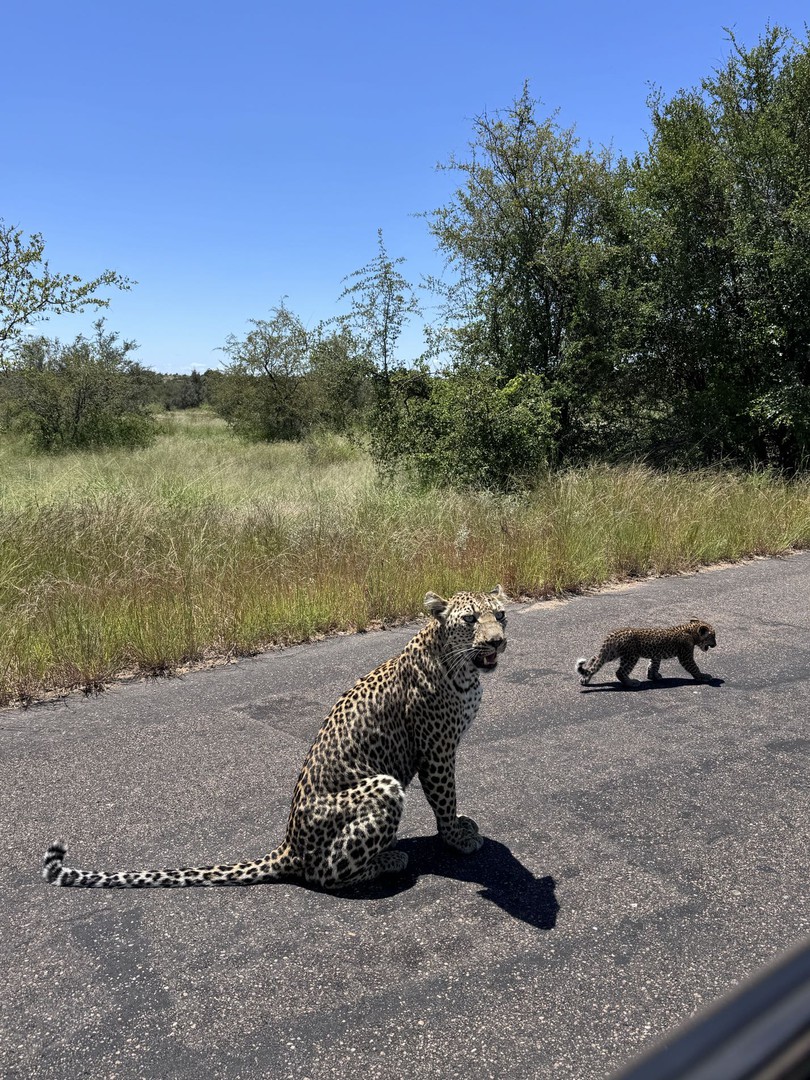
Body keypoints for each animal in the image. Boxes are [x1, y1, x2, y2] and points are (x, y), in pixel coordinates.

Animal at [43, 586, 507, 891]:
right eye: (470, 620)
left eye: (500, 616)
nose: (498, 641)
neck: (462, 669)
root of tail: (289, 844)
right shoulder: (436, 750)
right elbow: (444, 797)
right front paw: (456, 837)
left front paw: (460, 827)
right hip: (384, 786)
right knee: (325, 875)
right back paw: (389, 859)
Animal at [576, 618, 716, 687]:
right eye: (713, 636)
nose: (715, 645)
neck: (691, 631)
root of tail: (614, 634)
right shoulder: (685, 656)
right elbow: (693, 667)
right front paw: (702, 676)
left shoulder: (656, 655)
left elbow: (653, 665)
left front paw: (653, 676)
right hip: (631, 656)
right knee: (620, 672)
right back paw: (631, 683)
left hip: (611, 652)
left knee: (595, 659)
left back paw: (585, 679)